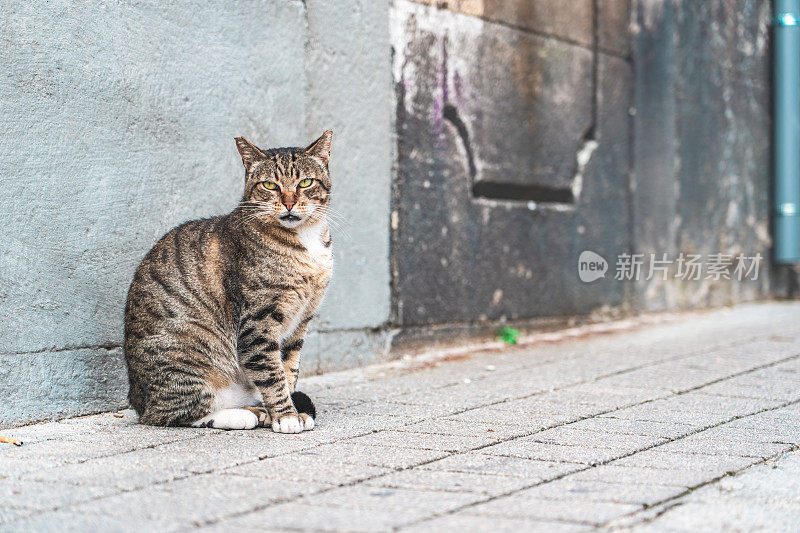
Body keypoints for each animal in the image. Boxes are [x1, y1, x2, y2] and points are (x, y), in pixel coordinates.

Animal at [122, 130, 334, 432]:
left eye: (305, 182)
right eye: (270, 185)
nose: (289, 203)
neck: (305, 241)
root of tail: (138, 401)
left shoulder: (300, 324)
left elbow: (289, 370)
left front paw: (286, 411)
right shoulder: (258, 324)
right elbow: (273, 375)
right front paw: (286, 417)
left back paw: (257, 410)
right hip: (187, 353)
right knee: (173, 414)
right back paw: (241, 415)